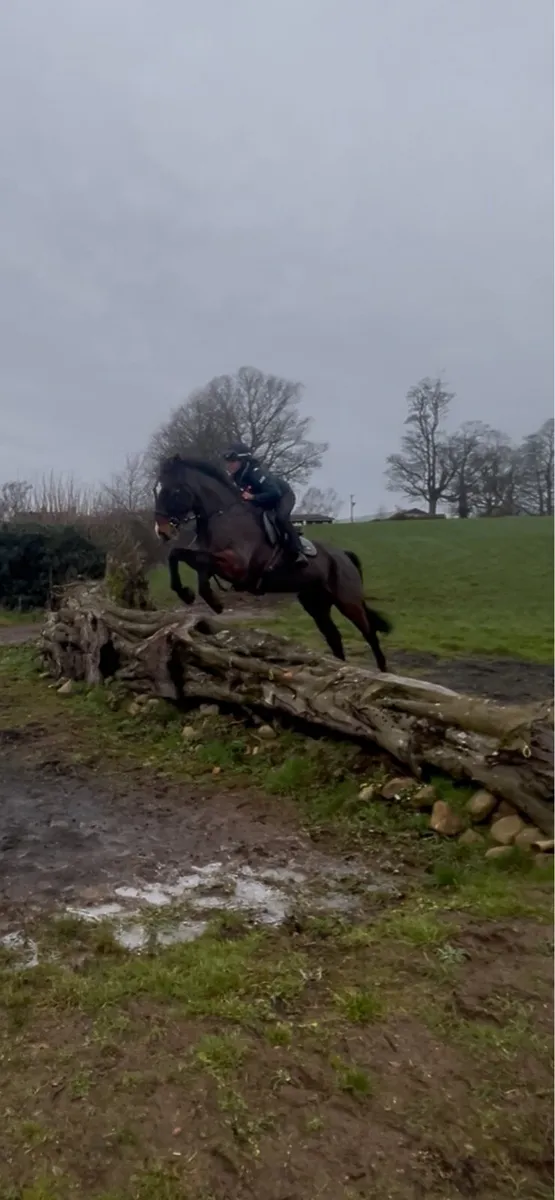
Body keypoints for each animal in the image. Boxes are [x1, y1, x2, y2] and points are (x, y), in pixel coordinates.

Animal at [154, 455, 391, 670]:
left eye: (173, 491)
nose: (161, 531)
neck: (222, 515)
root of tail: (343, 555)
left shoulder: (235, 566)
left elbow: (193, 561)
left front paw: (209, 601)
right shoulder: (211, 559)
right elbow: (180, 556)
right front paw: (192, 595)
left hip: (348, 600)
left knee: (369, 633)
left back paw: (382, 671)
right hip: (316, 604)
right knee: (333, 636)